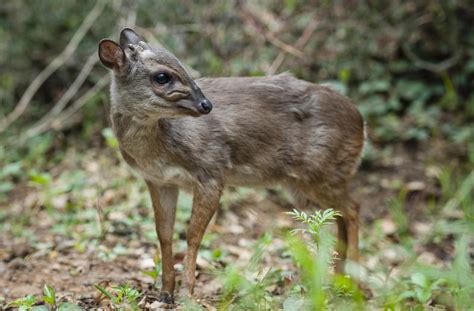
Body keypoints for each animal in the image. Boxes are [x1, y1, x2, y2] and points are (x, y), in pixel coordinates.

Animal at [96, 28, 362, 304]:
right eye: (162, 76)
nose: (206, 105)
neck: (160, 146)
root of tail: (360, 120)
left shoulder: (212, 169)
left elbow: (193, 235)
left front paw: (187, 294)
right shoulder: (159, 181)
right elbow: (164, 234)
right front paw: (165, 292)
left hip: (323, 171)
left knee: (353, 209)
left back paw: (355, 284)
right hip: (304, 184)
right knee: (341, 214)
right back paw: (340, 280)